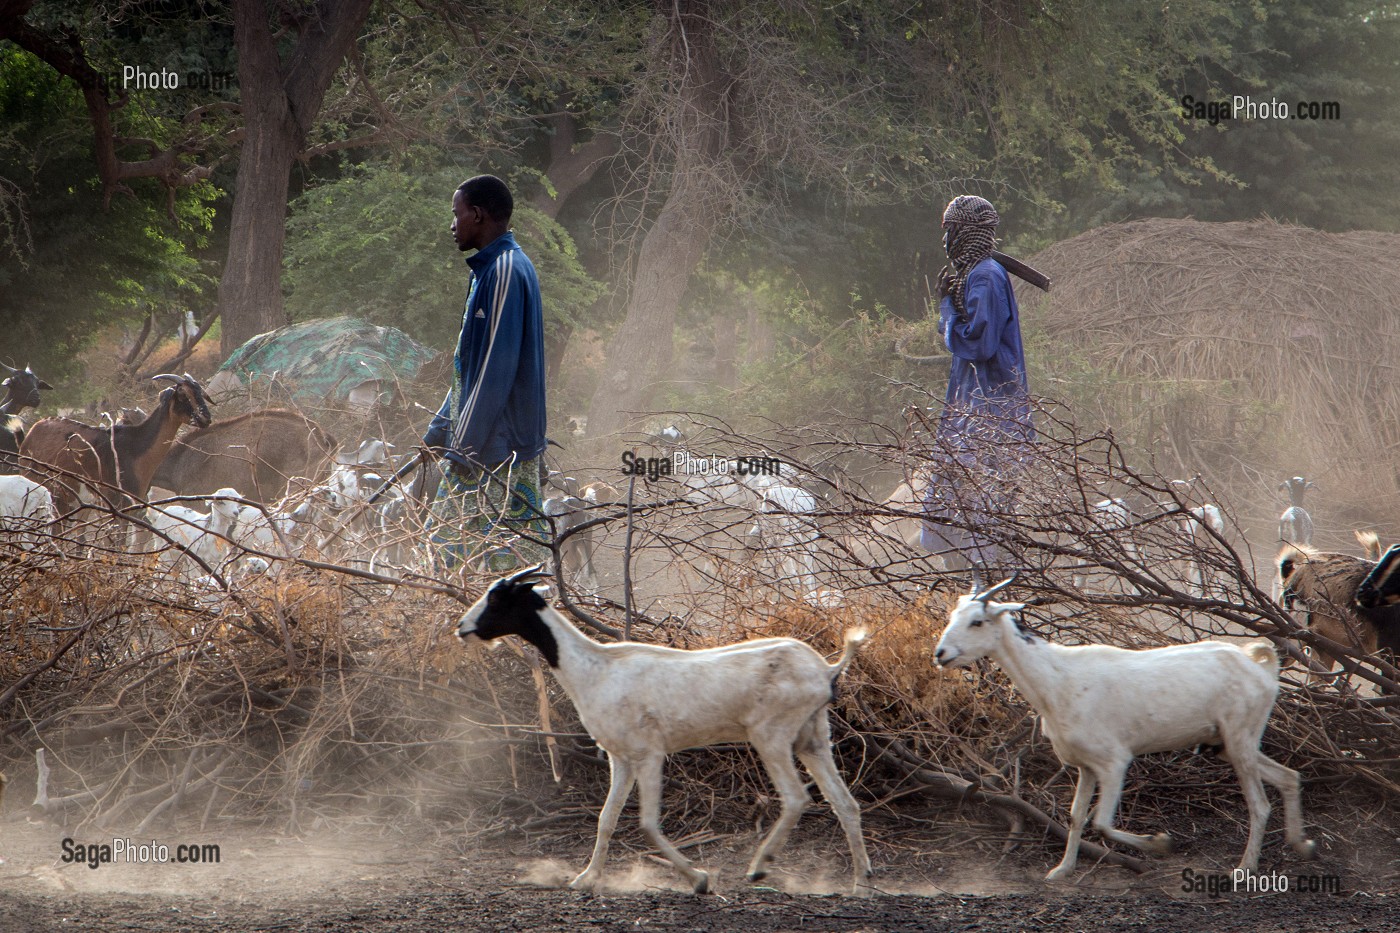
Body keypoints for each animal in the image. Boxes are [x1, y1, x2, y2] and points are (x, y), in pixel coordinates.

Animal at [19, 372, 211, 515]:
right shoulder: (114, 505)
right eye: (183, 394)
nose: (205, 418)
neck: (136, 448)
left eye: (200, 393)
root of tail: (32, 432)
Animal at [453, 560, 868, 896]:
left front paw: (699, 880)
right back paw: (861, 883)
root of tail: (827, 669)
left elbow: (648, 823)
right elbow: (607, 819)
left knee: (797, 798)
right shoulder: (620, 758)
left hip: (772, 737)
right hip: (812, 738)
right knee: (845, 803)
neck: (596, 668)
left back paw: (760, 868)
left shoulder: (648, 754)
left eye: (497, 598)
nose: (462, 626)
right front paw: (585, 879)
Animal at [935, 574, 1316, 879]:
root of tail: (1261, 667)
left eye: (978, 621)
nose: (941, 653)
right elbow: (1076, 816)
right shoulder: (1085, 766)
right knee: (1289, 776)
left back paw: (1245, 867)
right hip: (1227, 744)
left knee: (1260, 804)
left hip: (1239, 737)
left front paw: (1160, 843)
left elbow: (1101, 822)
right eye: (954, 615)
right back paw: (1303, 844)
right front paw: (1061, 870)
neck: (1057, 682)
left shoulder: (1114, 761)